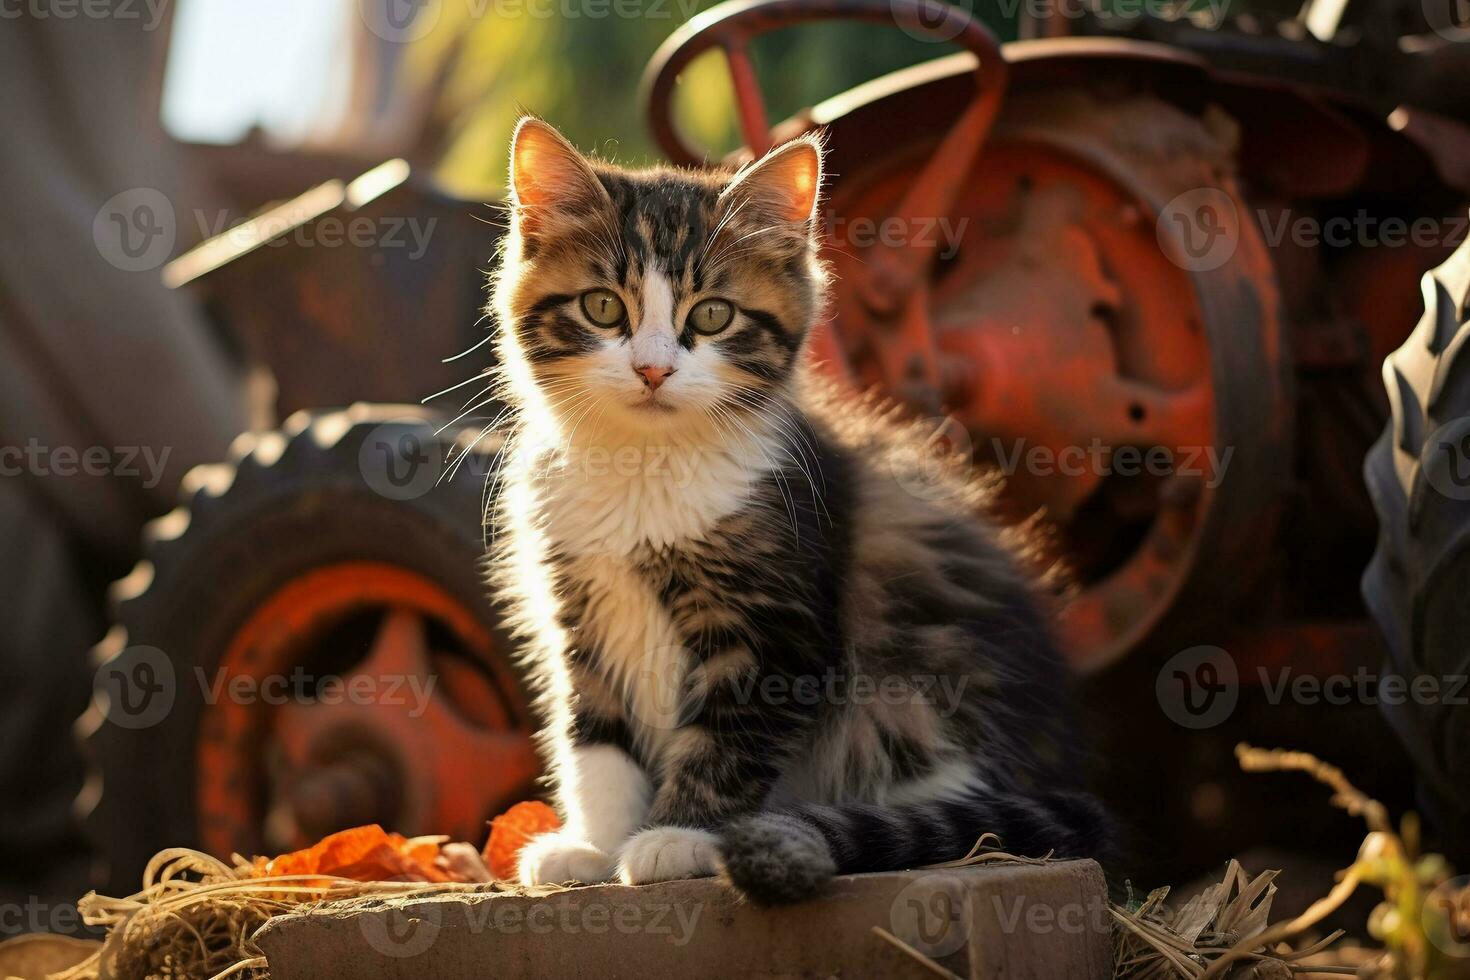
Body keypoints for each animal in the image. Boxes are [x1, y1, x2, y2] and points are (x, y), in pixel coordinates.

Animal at [488, 116, 1105, 905]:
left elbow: (726, 739)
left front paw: (675, 837)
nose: (653, 369)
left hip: (918, 697)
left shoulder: (775, 628)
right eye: (602, 307)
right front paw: (594, 845)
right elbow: (594, 738)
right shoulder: (580, 611)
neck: (643, 465)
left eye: (712, 316)